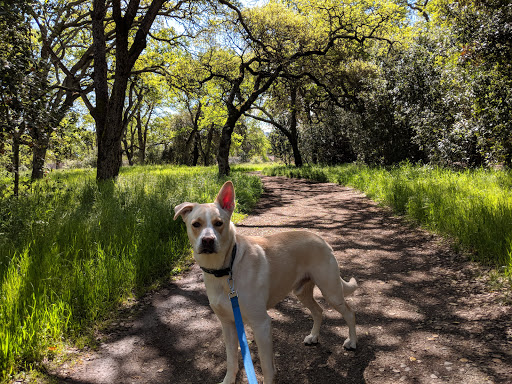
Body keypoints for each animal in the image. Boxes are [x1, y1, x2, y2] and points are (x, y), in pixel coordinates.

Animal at [174, 182, 358, 382]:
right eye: (196, 224)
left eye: (218, 223)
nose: (208, 240)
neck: (226, 269)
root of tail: (322, 239)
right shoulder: (228, 324)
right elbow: (231, 360)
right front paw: (228, 380)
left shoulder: (261, 323)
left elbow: (266, 366)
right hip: (301, 292)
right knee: (318, 311)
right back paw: (313, 336)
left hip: (331, 291)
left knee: (350, 313)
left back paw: (352, 341)